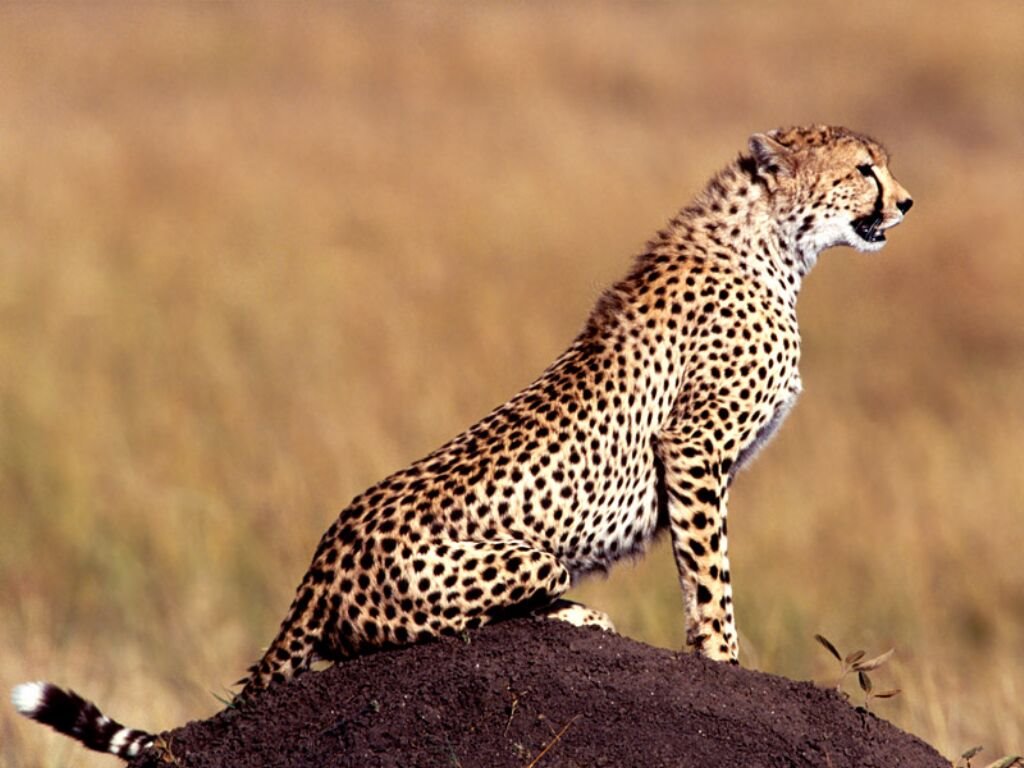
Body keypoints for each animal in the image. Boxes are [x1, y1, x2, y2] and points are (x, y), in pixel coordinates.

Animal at [13, 124, 912, 760]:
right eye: (863, 169)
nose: (905, 203)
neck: (774, 245)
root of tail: (320, 562)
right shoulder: (691, 448)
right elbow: (711, 576)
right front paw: (727, 665)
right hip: (514, 561)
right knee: (418, 632)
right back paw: (576, 615)